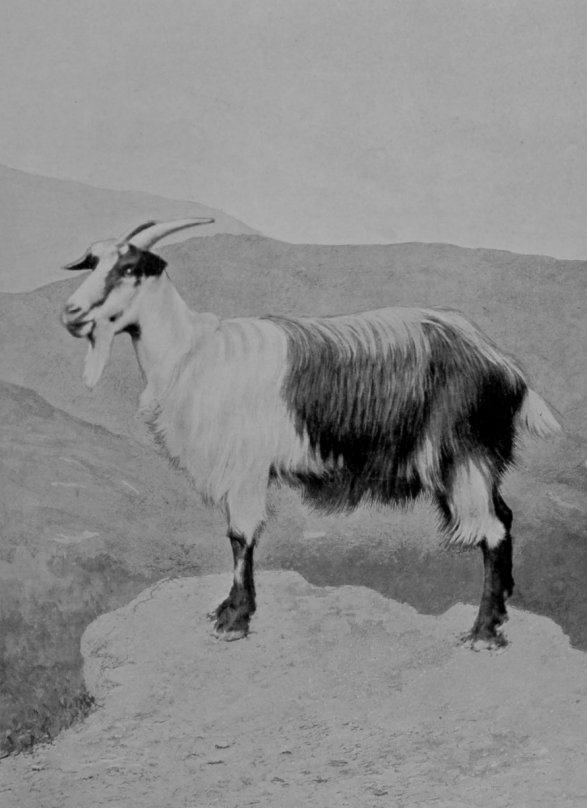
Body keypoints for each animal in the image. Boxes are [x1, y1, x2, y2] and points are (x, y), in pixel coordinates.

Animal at [61, 218, 561, 647]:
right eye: (93, 262)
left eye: (128, 268)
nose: (71, 313)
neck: (192, 353)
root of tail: (505, 365)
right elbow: (237, 536)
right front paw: (226, 609)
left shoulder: (245, 467)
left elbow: (240, 536)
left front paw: (235, 620)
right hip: (477, 459)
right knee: (505, 517)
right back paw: (503, 609)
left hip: (463, 453)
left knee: (491, 530)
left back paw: (484, 632)